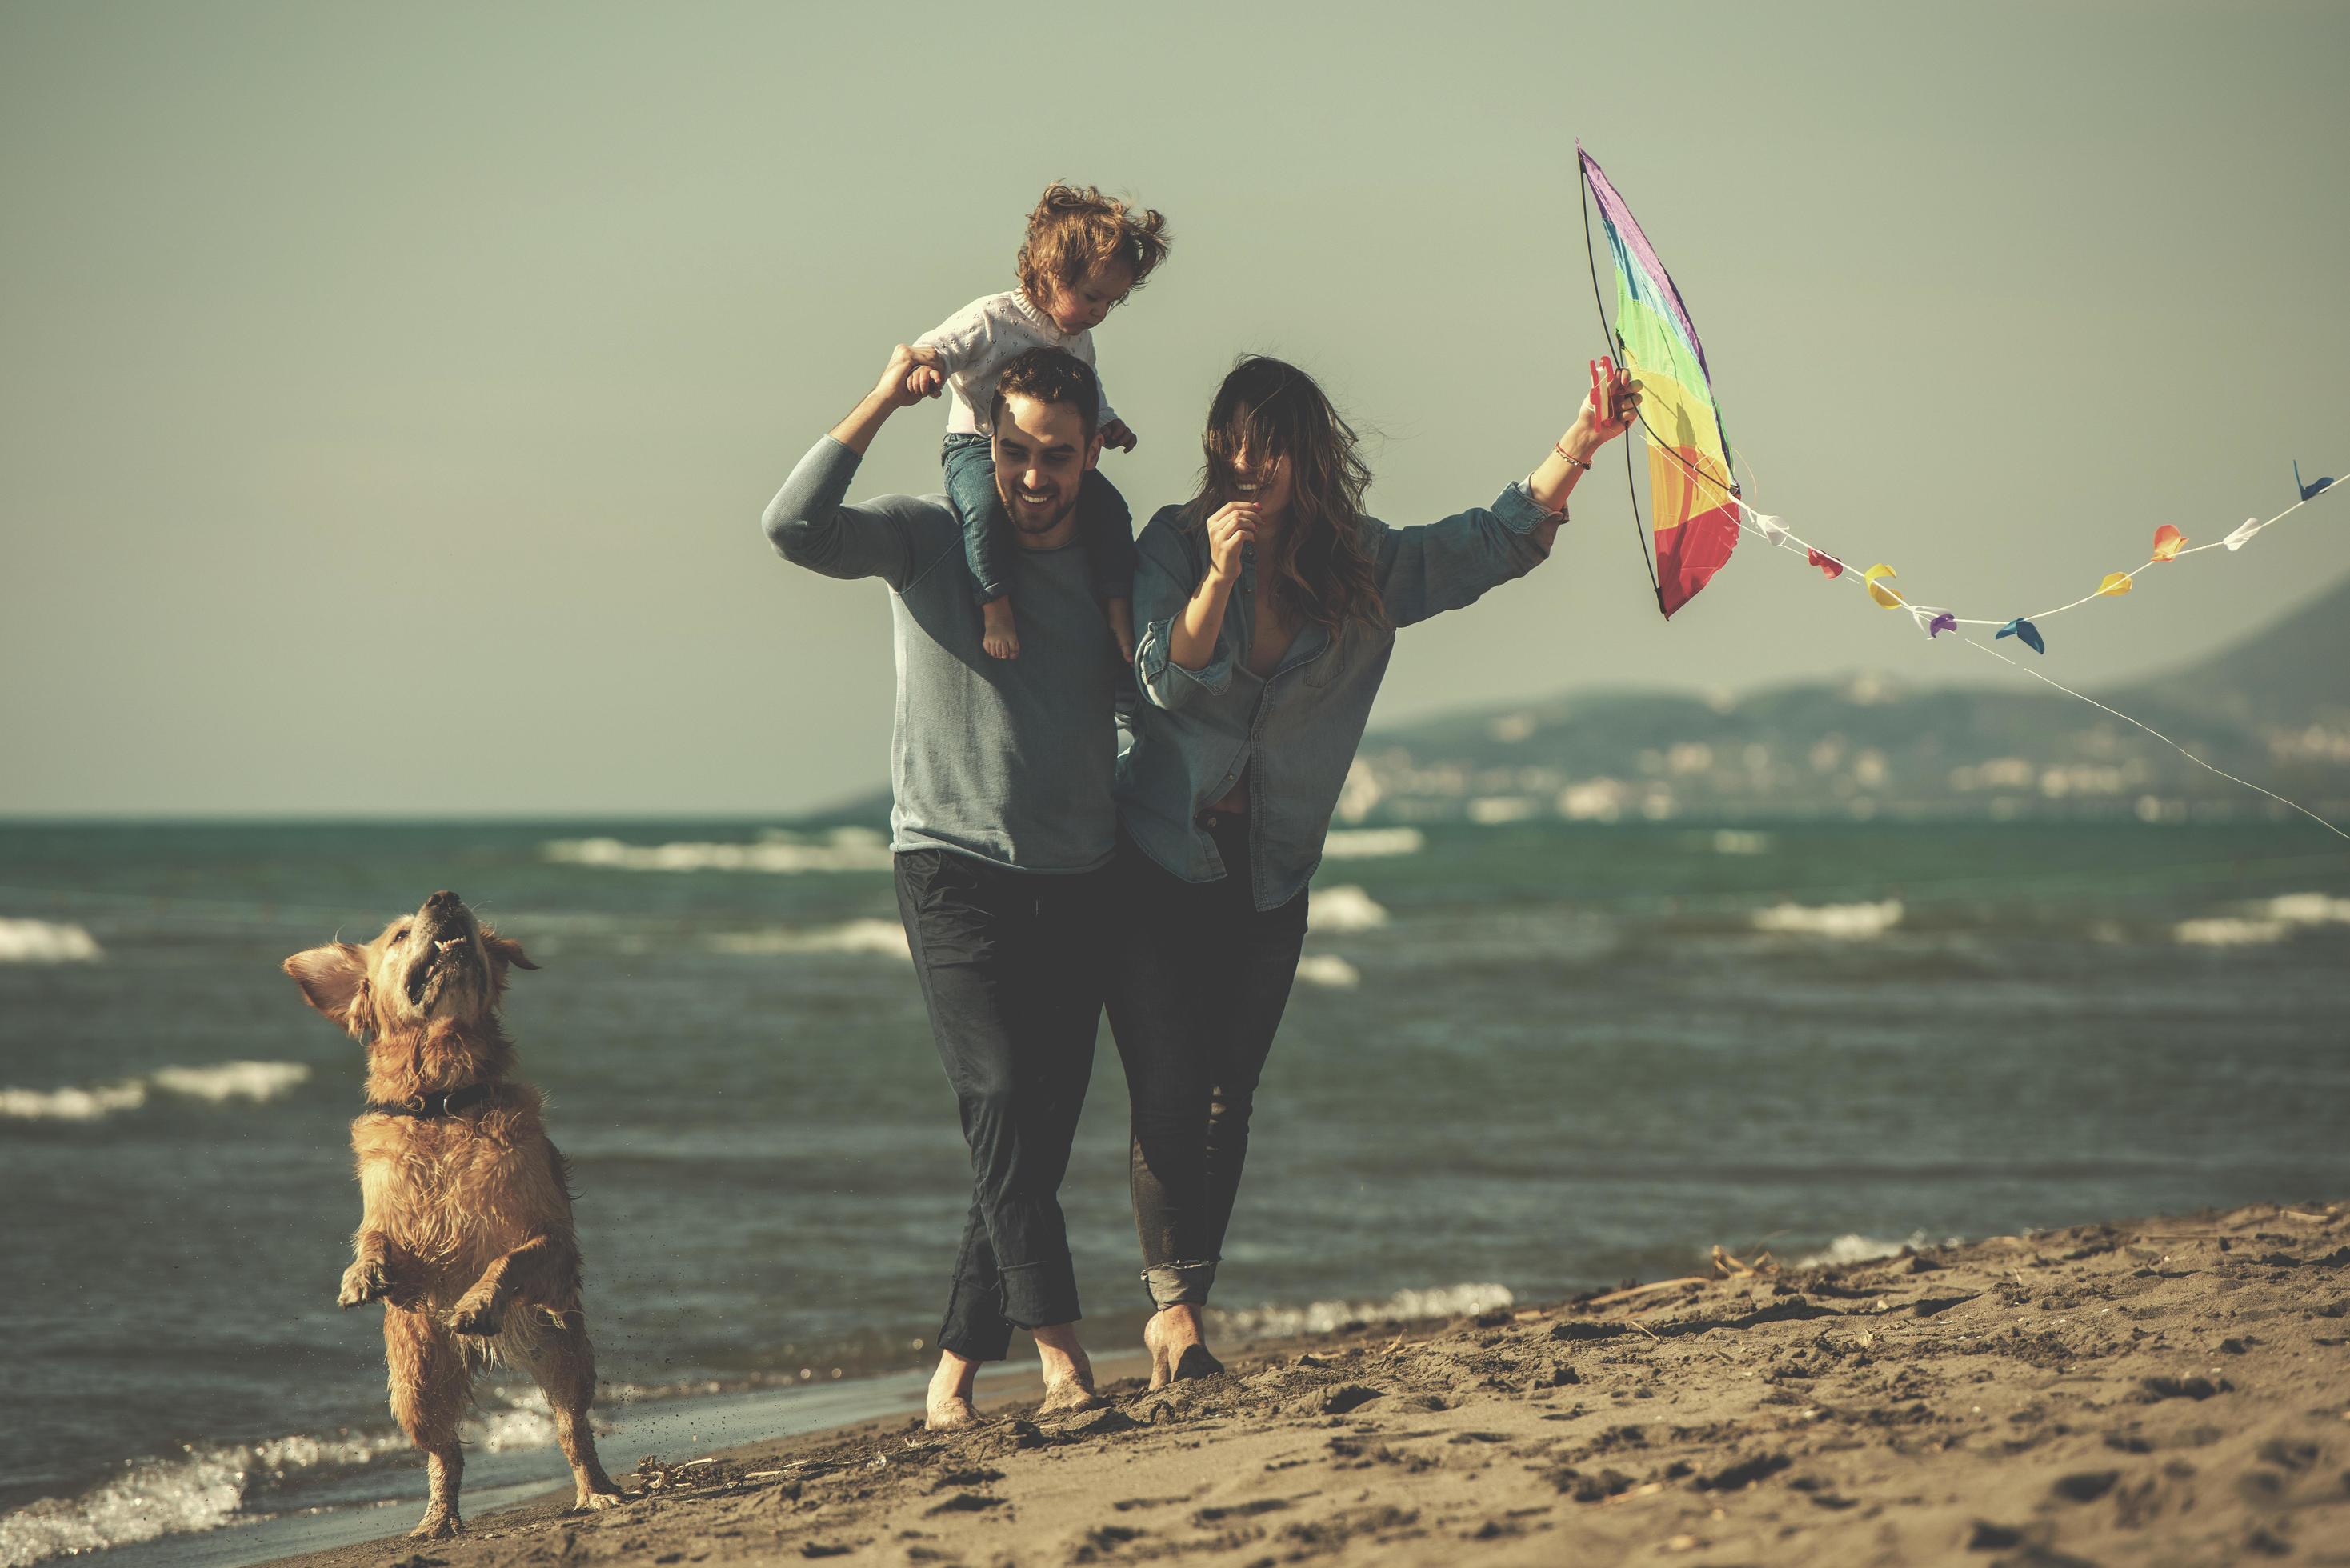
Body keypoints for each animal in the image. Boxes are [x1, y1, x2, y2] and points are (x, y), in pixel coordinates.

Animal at [284, 888, 625, 1542]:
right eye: (398, 935)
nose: (444, 898)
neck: (443, 1102)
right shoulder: (386, 1214)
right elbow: (373, 1237)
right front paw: (361, 1275)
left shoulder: (551, 1242)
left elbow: (512, 1258)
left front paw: (476, 1300)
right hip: (416, 1380)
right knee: (446, 1453)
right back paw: (437, 1521)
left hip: (564, 1351)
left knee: (572, 1428)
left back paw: (596, 1491)